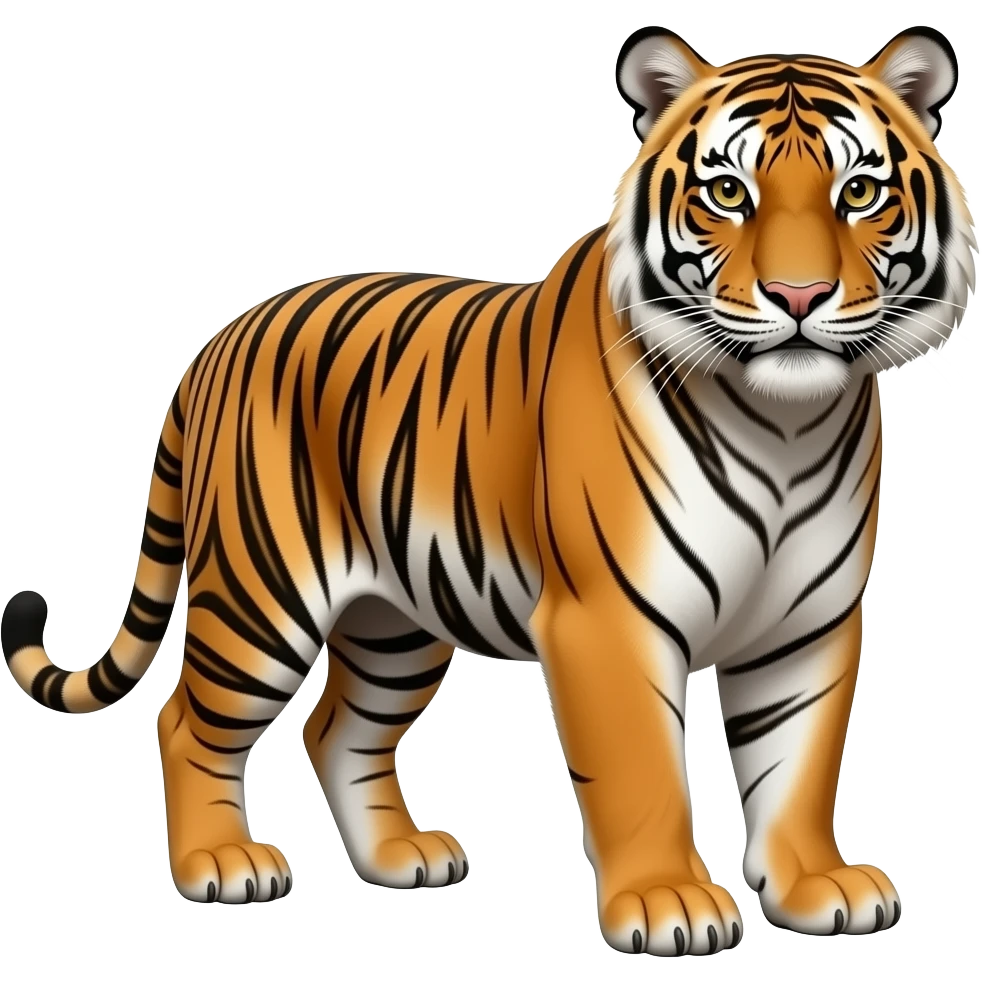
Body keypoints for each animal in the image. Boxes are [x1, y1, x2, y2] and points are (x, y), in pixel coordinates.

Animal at [0, 23, 973, 955]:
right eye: (729, 193)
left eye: (860, 193)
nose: (799, 295)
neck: (783, 425)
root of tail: (219, 339)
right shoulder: (608, 620)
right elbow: (643, 773)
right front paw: (668, 903)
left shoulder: (808, 623)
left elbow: (798, 765)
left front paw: (817, 886)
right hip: (259, 595)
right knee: (185, 721)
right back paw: (221, 864)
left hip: (394, 620)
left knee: (338, 728)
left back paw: (400, 856)